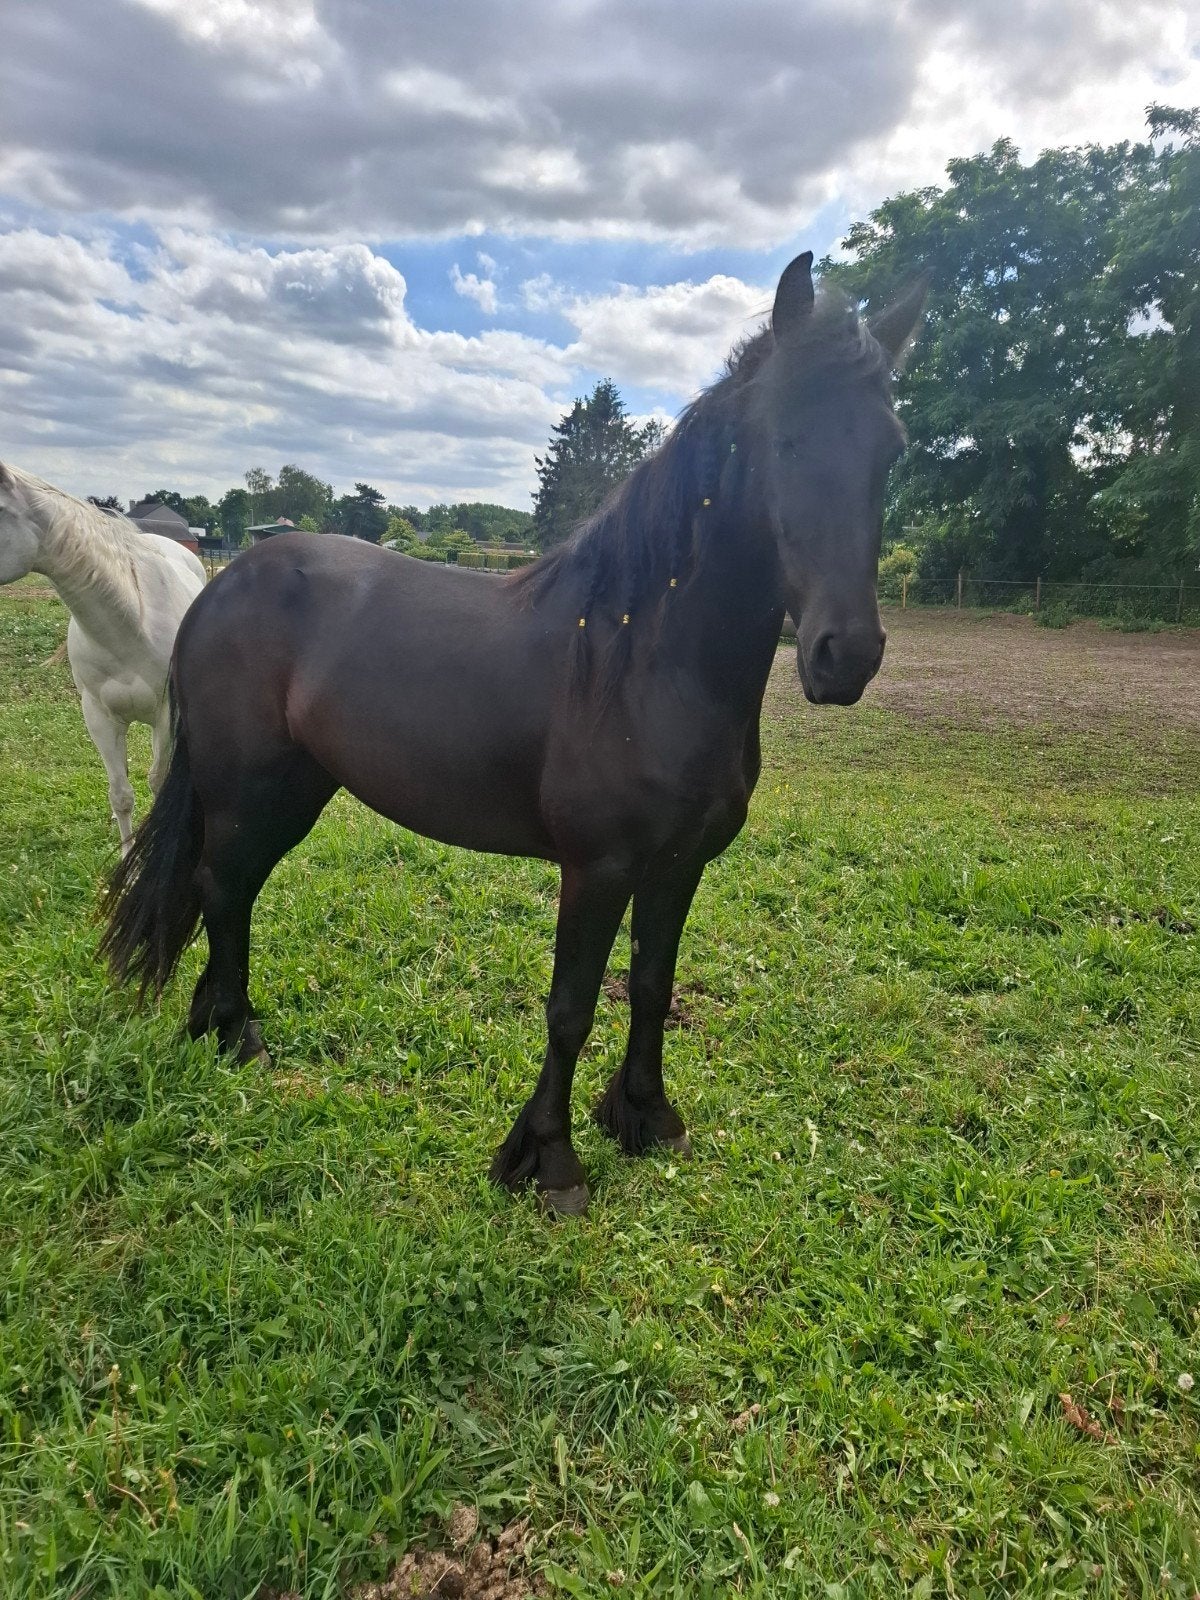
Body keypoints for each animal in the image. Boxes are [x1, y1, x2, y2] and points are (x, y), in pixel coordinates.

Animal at [101, 253, 926, 1214]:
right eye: (783, 439)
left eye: (891, 449)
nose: (846, 654)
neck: (642, 660)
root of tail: (223, 584)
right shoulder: (598, 868)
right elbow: (571, 1008)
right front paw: (549, 1160)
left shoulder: (680, 865)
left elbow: (652, 986)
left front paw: (646, 1116)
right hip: (246, 789)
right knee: (223, 888)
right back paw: (236, 1036)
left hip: (294, 790)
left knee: (230, 891)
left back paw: (218, 1026)